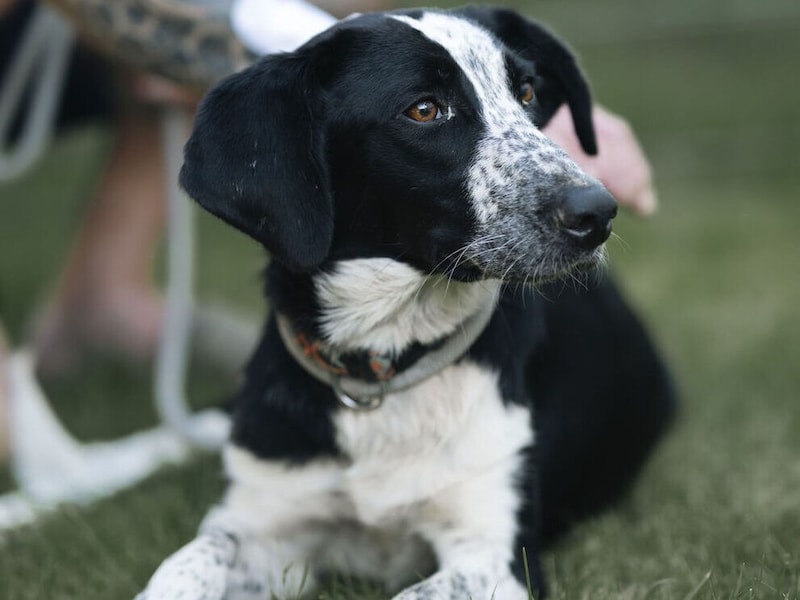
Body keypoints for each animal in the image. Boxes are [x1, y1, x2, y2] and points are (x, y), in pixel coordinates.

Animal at [139, 5, 676, 600]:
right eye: (424, 110)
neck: (385, 361)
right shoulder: (263, 521)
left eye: (528, 92)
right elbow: (184, 563)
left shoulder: (496, 557)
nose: (597, 213)